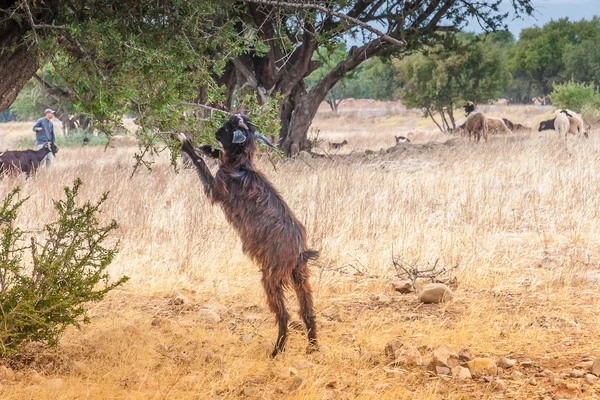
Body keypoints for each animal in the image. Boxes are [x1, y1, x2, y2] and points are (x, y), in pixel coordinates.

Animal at [178, 113, 318, 356]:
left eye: (227, 128)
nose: (215, 132)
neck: (240, 166)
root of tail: (300, 252)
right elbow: (215, 156)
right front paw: (206, 147)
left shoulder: (215, 190)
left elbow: (201, 164)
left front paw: (187, 143)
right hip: (301, 277)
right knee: (307, 310)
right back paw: (313, 348)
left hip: (271, 277)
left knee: (284, 314)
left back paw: (277, 351)